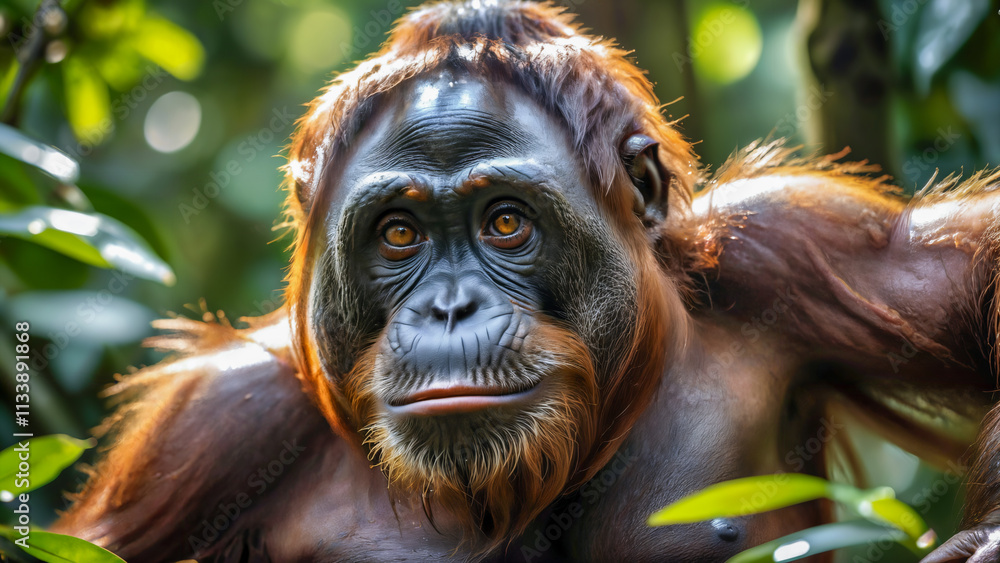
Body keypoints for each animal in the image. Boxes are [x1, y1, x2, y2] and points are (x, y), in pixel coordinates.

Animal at [52, 1, 1000, 562]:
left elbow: (965, 276)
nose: (449, 305)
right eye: (398, 234)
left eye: (505, 222)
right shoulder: (217, 428)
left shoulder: (795, 248)